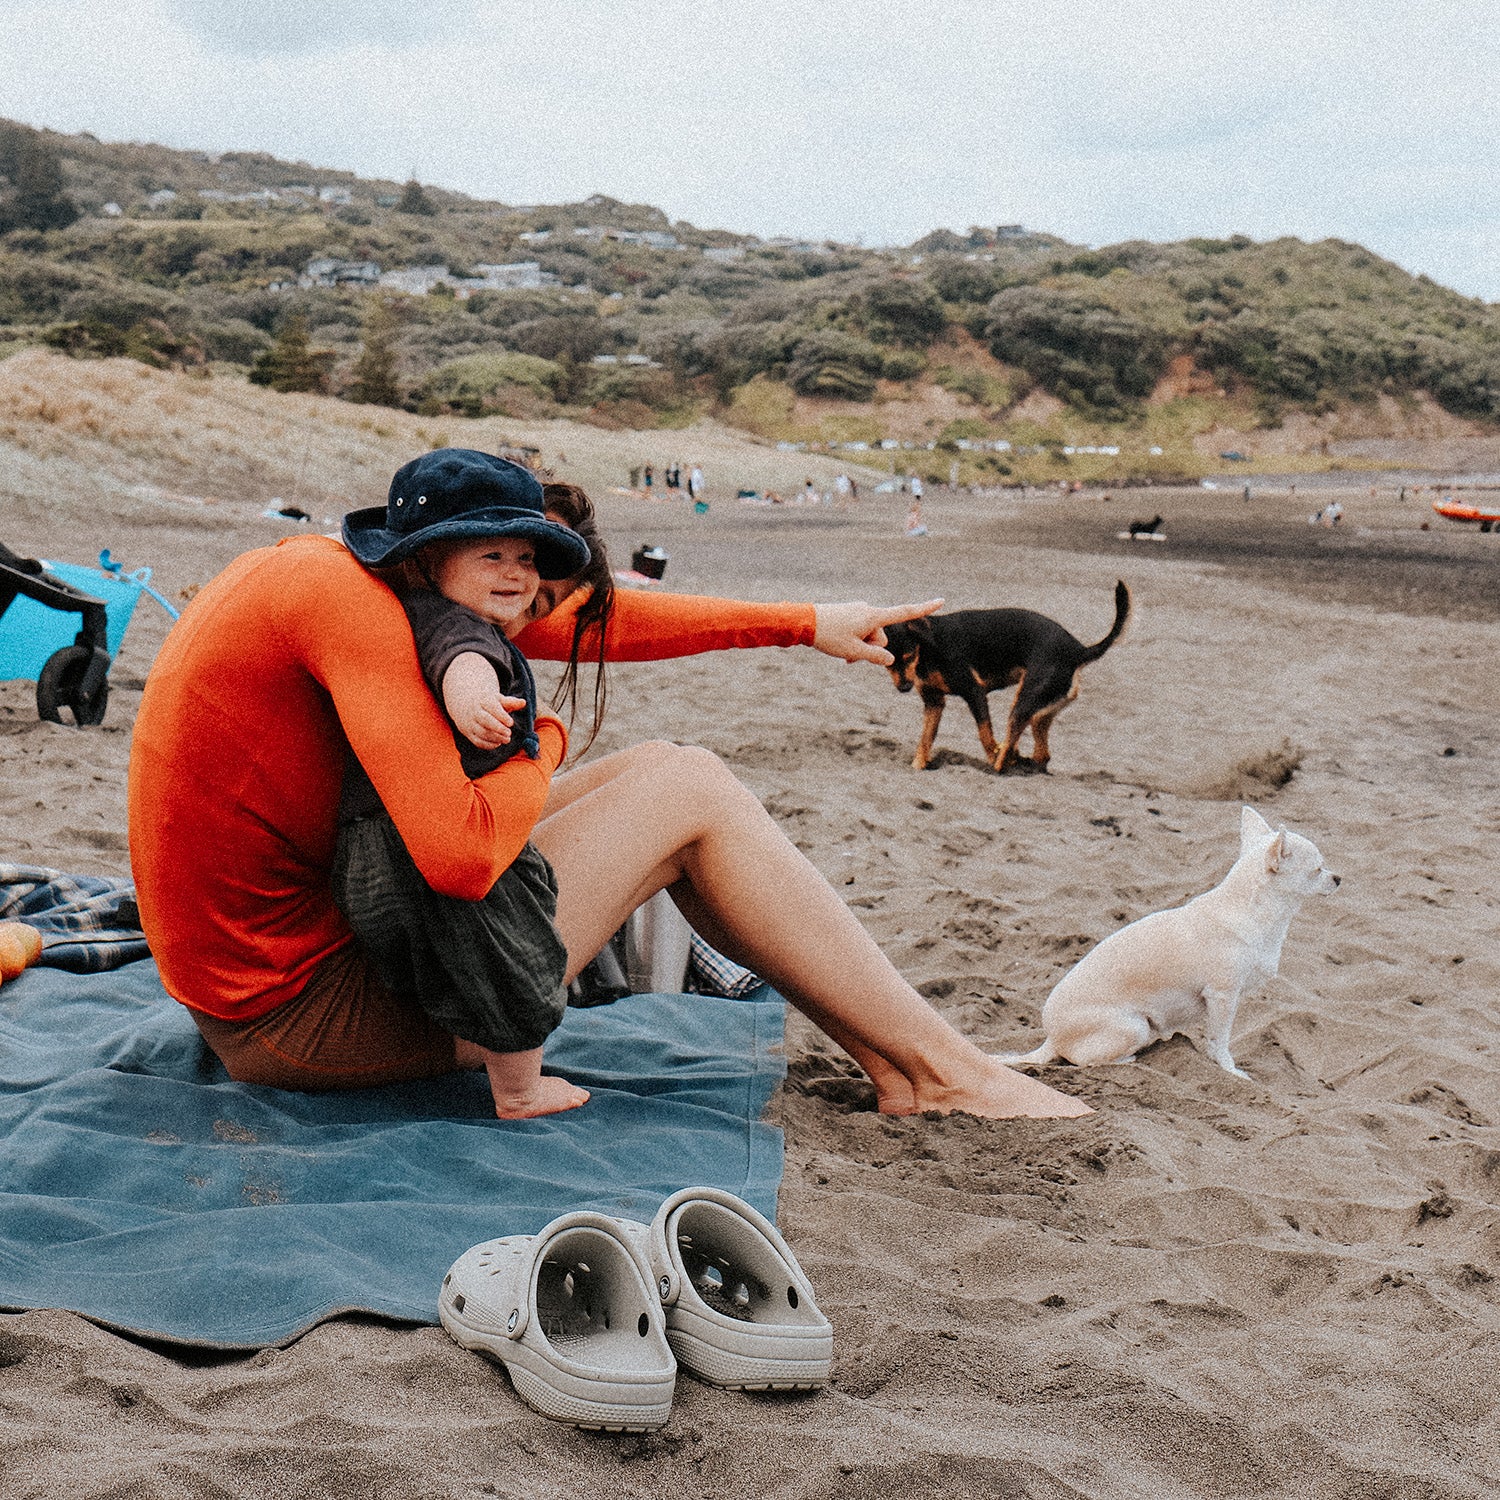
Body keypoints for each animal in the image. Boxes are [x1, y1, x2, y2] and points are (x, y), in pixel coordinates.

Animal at [882, 579, 1128, 774]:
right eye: (888, 662)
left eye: (909, 655)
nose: (904, 687)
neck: (929, 647)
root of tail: (1078, 650)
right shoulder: (934, 703)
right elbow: (925, 738)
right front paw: (919, 764)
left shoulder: (975, 693)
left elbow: (985, 734)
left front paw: (992, 754)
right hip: (1039, 712)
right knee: (1041, 754)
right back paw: (1021, 762)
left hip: (1024, 702)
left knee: (1011, 745)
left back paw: (1001, 765)